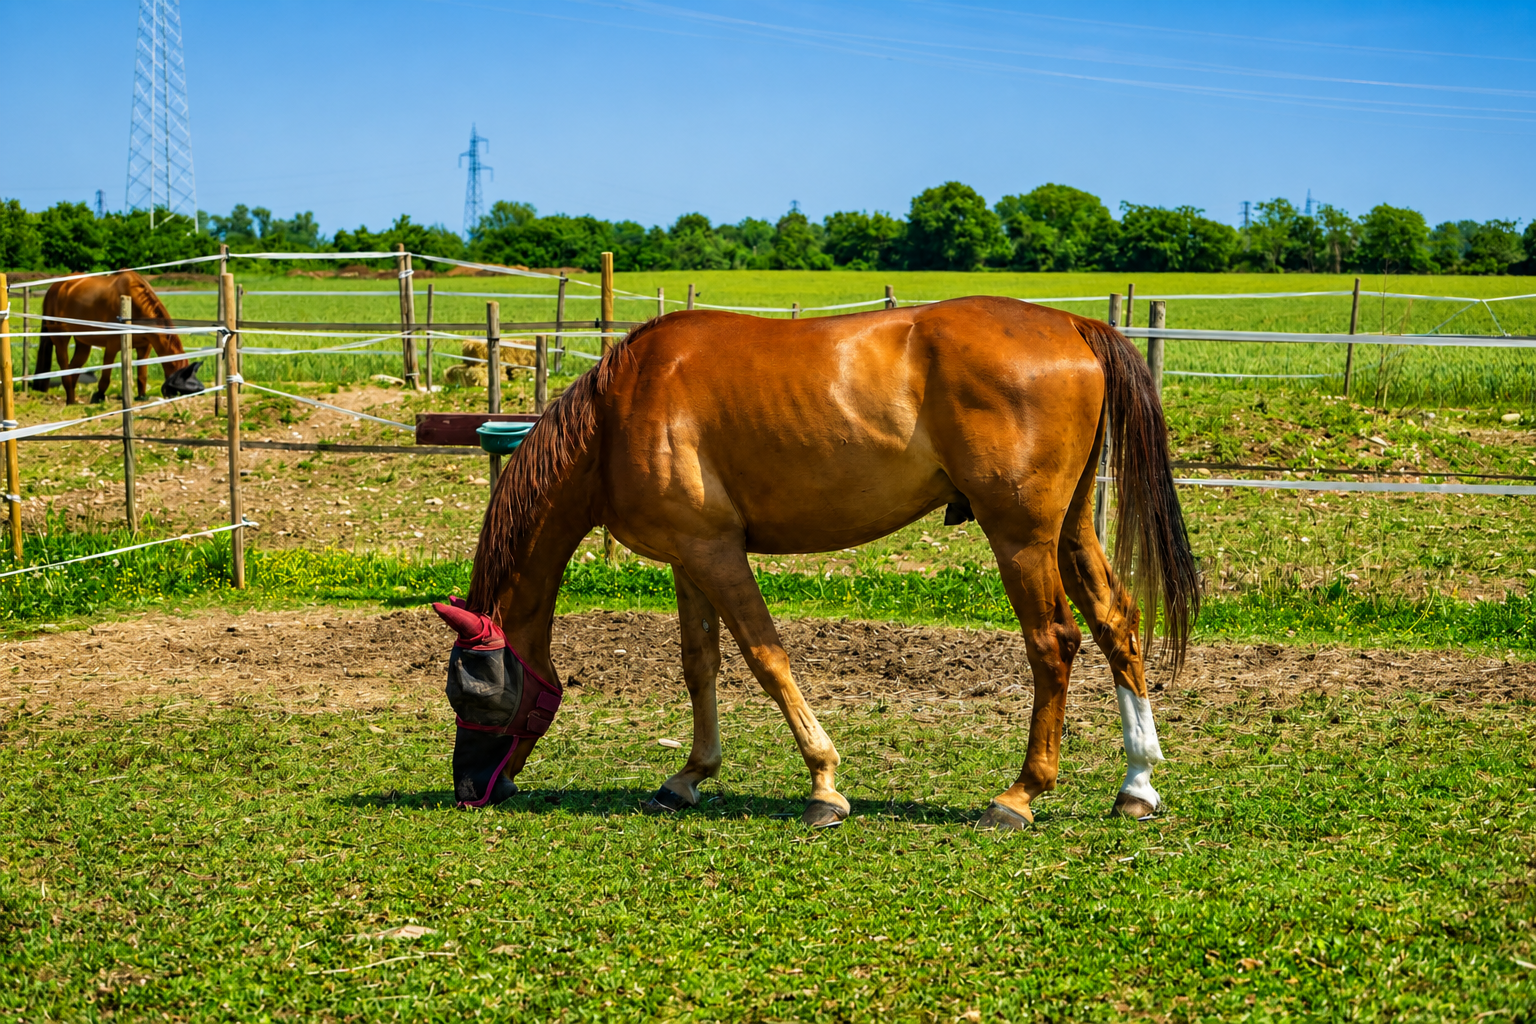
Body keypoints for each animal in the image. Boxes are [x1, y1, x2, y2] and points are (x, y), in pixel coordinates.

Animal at [33, 270, 205, 404]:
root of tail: (54, 287)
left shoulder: (144, 348)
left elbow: (142, 376)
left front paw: (141, 397)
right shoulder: (112, 346)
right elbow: (105, 377)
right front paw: (98, 397)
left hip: (83, 343)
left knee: (73, 369)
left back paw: (72, 400)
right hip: (61, 338)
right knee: (64, 367)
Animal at [432, 296, 1200, 829]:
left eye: (471, 693)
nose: (469, 789)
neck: (618, 411)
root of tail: (1071, 324)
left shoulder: (717, 553)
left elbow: (766, 658)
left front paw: (824, 784)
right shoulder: (688, 555)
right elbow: (699, 663)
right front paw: (690, 775)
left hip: (1021, 538)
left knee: (1054, 643)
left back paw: (1019, 794)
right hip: (1067, 531)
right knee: (1116, 623)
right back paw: (1136, 783)